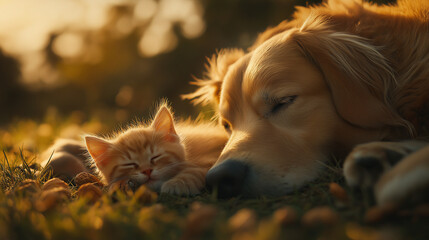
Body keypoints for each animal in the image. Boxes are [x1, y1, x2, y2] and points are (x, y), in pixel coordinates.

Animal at [85, 106, 229, 196]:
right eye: (130, 164)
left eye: (155, 157)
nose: (147, 170)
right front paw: (120, 185)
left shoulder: (212, 158)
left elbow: (194, 170)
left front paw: (176, 184)